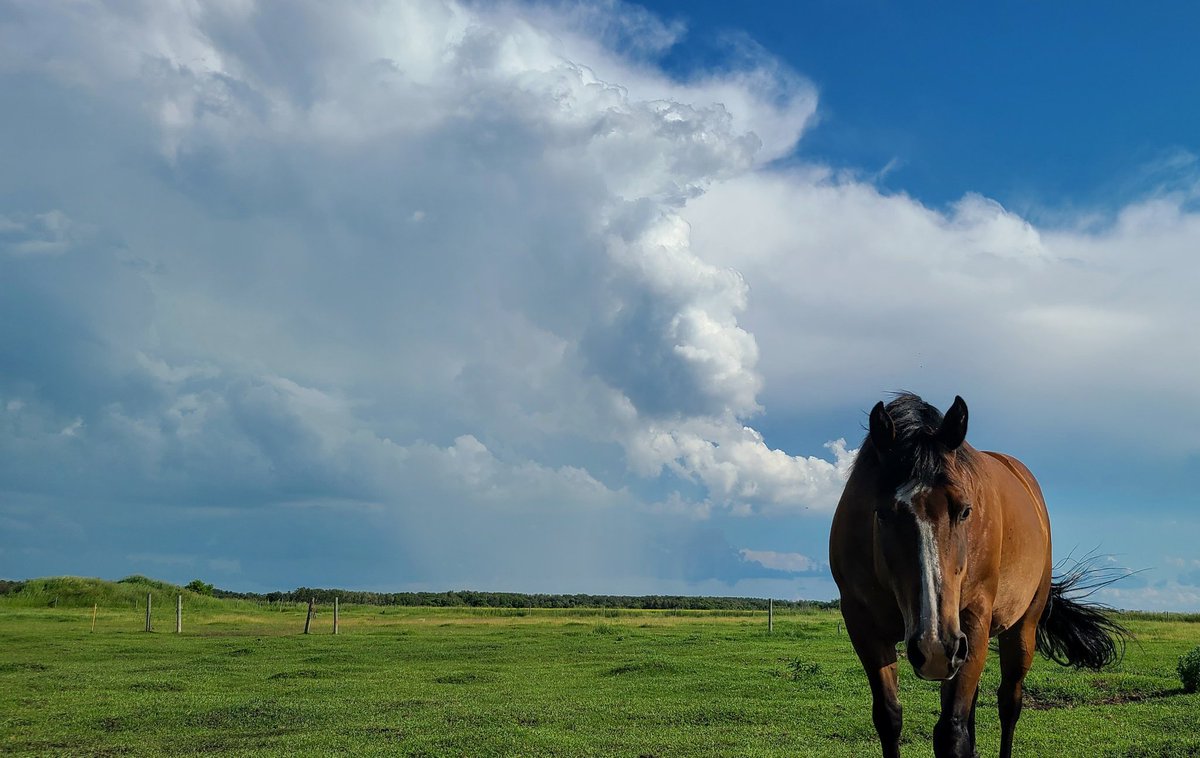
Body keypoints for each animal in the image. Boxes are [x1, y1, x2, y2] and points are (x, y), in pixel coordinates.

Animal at [829, 393, 1126, 758]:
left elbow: (951, 733)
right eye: (882, 513)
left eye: (965, 510)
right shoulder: (863, 625)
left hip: (1017, 630)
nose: (934, 645)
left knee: (1008, 703)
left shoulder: (972, 619)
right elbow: (889, 718)